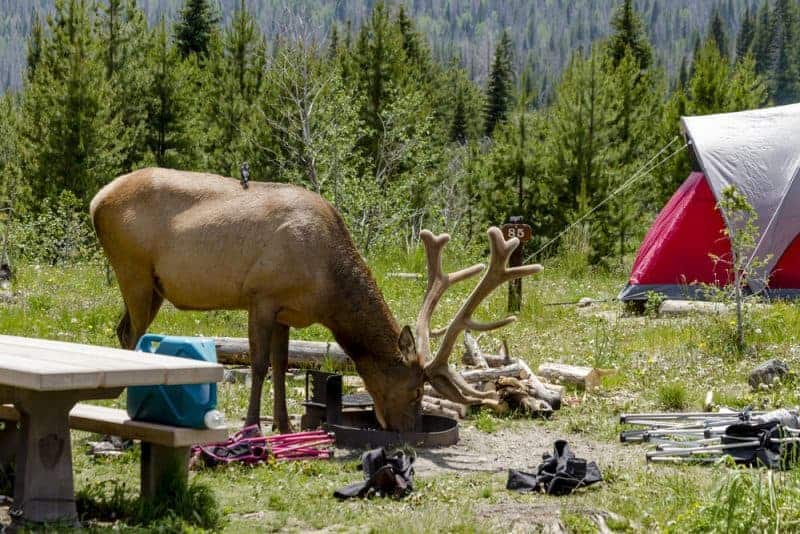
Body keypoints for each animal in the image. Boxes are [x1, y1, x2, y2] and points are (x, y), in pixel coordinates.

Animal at [90, 167, 542, 433]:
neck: (326, 287)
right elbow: (258, 365)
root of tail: (96, 199)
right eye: (415, 390)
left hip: (149, 285)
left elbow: (280, 364)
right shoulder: (261, 295)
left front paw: (285, 426)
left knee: (122, 330)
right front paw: (252, 428)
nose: (407, 430)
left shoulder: (287, 311)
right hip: (133, 271)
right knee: (129, 332)